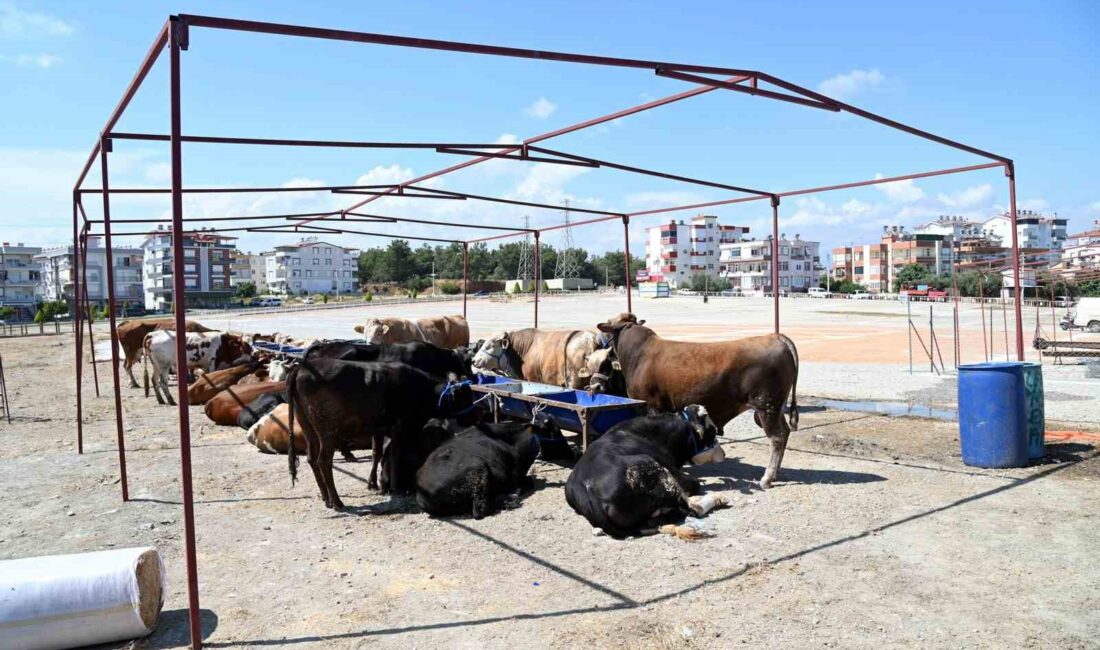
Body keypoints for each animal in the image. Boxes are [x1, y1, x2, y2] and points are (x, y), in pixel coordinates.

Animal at [288, 358, 473, 510]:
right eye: (466, 397)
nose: (473, 416)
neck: (421, 389)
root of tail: (302, 367)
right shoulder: (400, 428)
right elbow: (395, 456)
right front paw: (395, 488)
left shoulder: (377, 429)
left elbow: (377, 453)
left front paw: (372, 483)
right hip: (327, 431)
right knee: (323, 461)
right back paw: (337, 502)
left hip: (308, 427)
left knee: (311, 458)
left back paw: (326, 498)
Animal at [563, 406, 726, 538]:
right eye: (712, 432)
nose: (724, 454)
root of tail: (589, 492)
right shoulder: (673, 470)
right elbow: (695, 483)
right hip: (657, 471)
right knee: (691, 509)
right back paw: (717, 498)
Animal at [594, 321, 800, 488]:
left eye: (604, 362)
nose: (594, 386)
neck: (638, 355)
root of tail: (775, 337)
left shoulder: (652, 405)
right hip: (776, 408)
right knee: (785, 432)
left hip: (766, 406)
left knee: (776, 438)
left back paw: (767, 478)